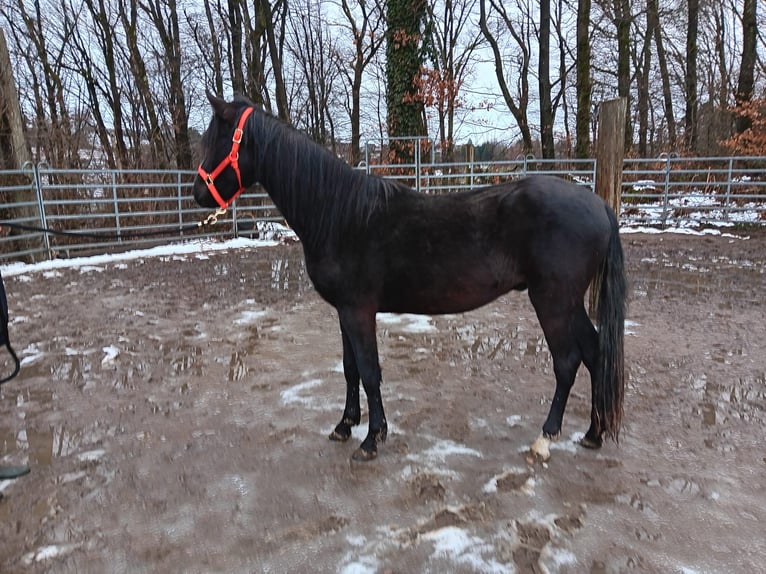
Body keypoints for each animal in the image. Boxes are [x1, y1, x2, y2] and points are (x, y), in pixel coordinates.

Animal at [193, 92, 627, 462]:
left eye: (217, 142)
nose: (198, 193)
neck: (338, 214)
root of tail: (599, 205)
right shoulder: (344, 312)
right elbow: (350, 368)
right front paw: (345, 426)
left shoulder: (359, 311)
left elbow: (369, 371)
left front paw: (371, 439)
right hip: (569, 303)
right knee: (595, 352)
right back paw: (593, 434)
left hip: (553, 301)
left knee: (567, 362)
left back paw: (544, 440)